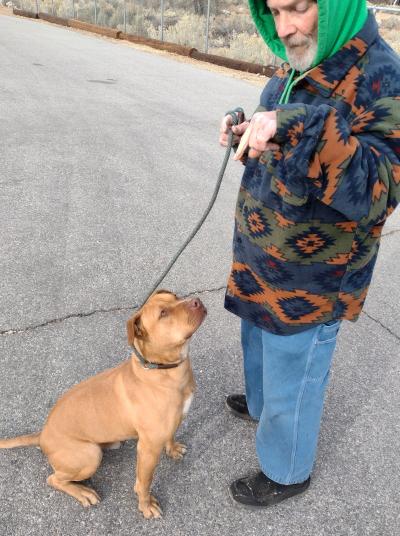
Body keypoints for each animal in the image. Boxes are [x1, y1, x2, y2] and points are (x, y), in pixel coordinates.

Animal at [0, 292, 206, 516]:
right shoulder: (147, 449)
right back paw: (83, 492)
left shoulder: (169, 426)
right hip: (89, 455)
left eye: (175, 296)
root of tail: (43, 434)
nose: (197, 301)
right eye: (163, 313)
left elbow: (170, 435)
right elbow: (144, 482)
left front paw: (173, 448)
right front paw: (146, 506)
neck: (161, 370)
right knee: (53, 479)